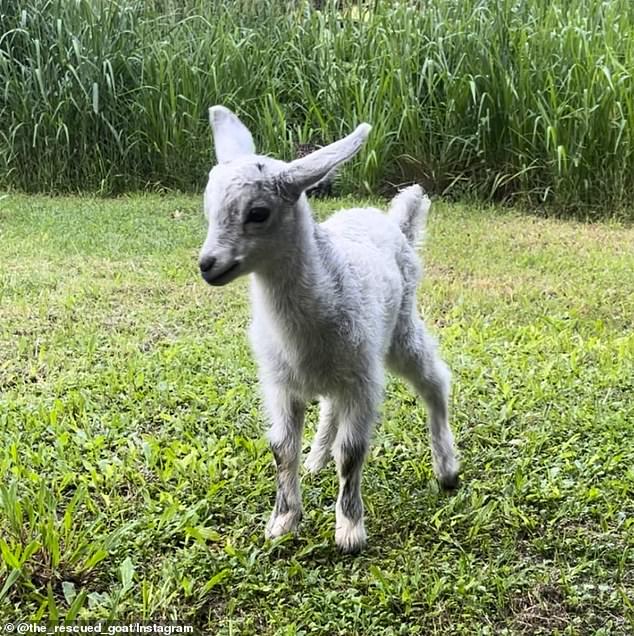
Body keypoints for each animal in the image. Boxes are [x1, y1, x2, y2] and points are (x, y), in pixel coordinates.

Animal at [200, 107, 456, 556]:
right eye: (207, 208)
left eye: (258, 213)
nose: (207, 264)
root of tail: (394, 222)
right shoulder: (281, 382)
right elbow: (281, 449)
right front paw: (283, 522)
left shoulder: (363, 380)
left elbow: (352, 452)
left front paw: (350, 531)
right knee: (330, 407)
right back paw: (316, 460)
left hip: (398, 328)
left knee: (435, 380)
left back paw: (446, 470)